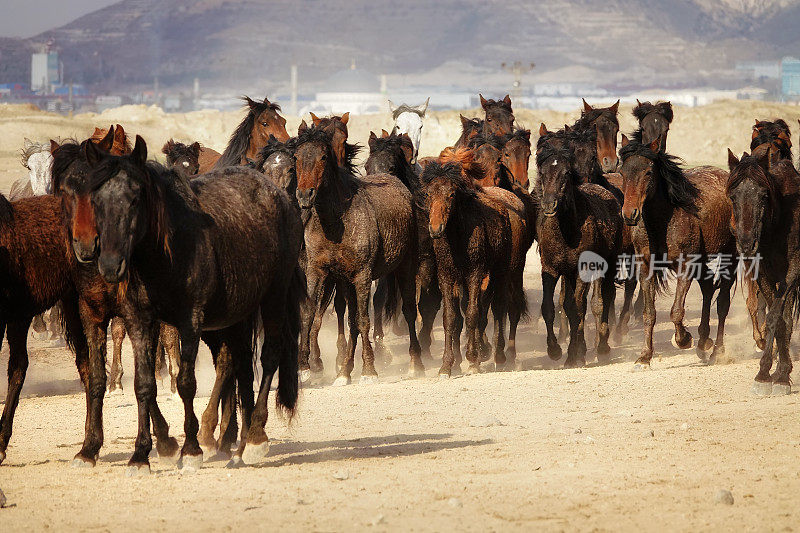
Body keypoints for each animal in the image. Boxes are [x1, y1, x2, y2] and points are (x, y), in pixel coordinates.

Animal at [84, 136, 304, 470]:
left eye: (135, 199)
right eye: (95, 200)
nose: (109, 265)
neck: (167, 251)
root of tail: (277, 194)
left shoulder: (190, 321)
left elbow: (186, 382)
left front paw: (190, 450)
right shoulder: (140, 320)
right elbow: (144, 384)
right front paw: (141, 455)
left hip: (273, 297)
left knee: (269, 357)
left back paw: (253, 438)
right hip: (238, 313)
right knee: (239, 363)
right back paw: (236, 444)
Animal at [290, 127, 422, 384]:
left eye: (323, 157)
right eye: (297, 157)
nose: (304, 195)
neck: (335, 223)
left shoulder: (362, 276)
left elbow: (363, 319)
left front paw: (369, 370)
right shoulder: (318, 272)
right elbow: (310, 315)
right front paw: (304, 369)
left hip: (405, 266)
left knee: (409, 310)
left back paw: (415, 364)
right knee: (350, 321)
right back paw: (344, 371)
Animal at [536, 141, 624, 366]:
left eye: (566, 173)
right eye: (542, 171)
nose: (549, 204)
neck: (567, 231)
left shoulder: (582, 270)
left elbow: (578, 309)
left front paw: (572, 355)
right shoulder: (550, 269)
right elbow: (551, 308)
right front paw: (555, 351)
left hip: (607, 264)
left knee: (603, 299)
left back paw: (602, 347)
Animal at [620, 136, 736, 370]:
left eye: (648, 172)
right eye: (622, 172)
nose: (629, 214)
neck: (663, 221)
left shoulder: (686, 267)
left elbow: (676, 311)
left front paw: (683, 339)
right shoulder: (646, 268)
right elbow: (649, 313)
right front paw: (644, 357)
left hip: (731, 258)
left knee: (722, 303)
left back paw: (717, 351)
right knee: (708, 290)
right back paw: (703, 342)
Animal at [724, 145, 800, 394]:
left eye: (764, 195)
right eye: (733, 196)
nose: (747, 244)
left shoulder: (792, 273)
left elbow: (776, 315)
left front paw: (775, 375)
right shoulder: (763, 275)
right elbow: (779, 321)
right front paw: (772, 373)